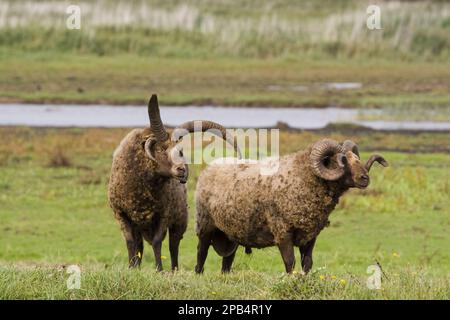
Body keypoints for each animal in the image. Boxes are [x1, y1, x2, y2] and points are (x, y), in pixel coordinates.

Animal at [108, 94, 239, 270]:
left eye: (180, 151)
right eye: (161, 149)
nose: (182, 170)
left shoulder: (165, 215)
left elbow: (157, 242)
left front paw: (159, 270)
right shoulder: (121, 214)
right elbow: (130, 242)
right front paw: (131, 268)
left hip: (179, 222)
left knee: (173, 246)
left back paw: (174, 269)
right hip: (140, 226)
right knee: (139, 245)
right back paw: (137, 267)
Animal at [193, 139, 386, 274]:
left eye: (356, 158)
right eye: (342, 160)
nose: (365, 178)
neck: (302, 177)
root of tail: (208, 169)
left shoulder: (310, 235)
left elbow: (307, 263)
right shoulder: (283, 233)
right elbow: (290, 262)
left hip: (231, 234)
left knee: (227, 261)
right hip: (205, 225)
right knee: (201, 253)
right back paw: (199, 275)